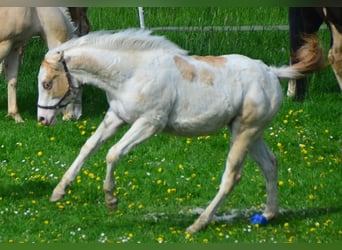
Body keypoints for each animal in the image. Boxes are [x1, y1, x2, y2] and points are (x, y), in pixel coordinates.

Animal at [36, 29, 324, 232]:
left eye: (47, 83)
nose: (42, 119)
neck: (131, 73)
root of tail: (271, 72)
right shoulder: (116, 117)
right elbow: (89, 147)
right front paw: (58, 192)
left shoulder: (150, 123)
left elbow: (112, 153)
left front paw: (111, 200)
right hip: (251, 133)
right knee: (270, 164)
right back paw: (267, 214)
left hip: (244, 131)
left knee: (232, 176)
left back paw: (198, 224)